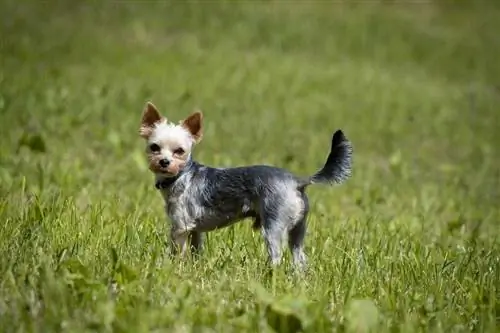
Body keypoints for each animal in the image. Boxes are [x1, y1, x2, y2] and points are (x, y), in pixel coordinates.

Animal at [139, 102, 354, 270]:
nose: (164, 162)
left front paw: (174, 269)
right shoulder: (194, 230)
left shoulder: (180, 227)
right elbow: (196, 250)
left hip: (273, 225)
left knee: (277, 257)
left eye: (179, 151)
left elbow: (177, 253)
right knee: (299, 259)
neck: (181, 175)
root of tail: (297, 181)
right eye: (154, 147)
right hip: (298, 229)